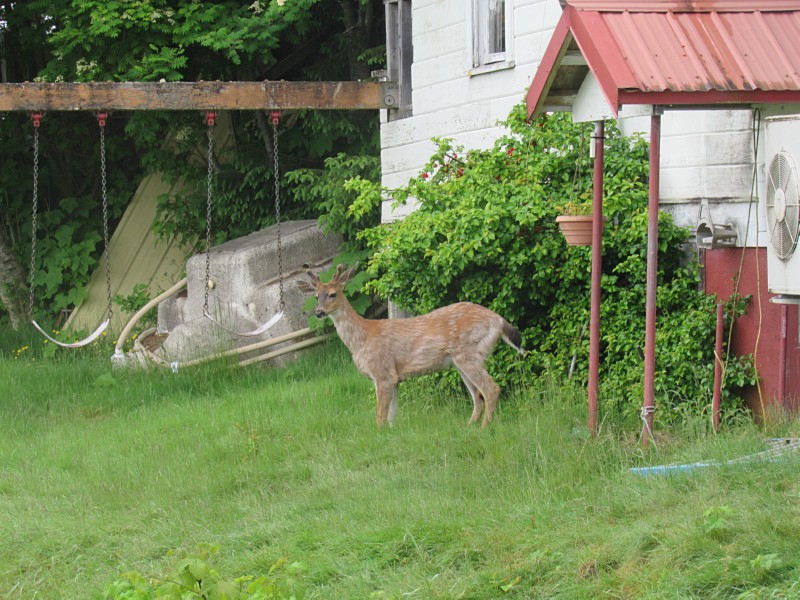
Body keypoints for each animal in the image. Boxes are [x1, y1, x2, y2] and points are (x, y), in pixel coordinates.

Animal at [297, 264, 525, 428]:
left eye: (333, 294)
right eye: (316, 296)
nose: (318, 312)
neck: (362, 339)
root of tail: (498, 320)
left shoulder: (382, 373)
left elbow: (380, 416)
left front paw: (378, 434)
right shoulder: (394, 378)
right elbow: (391, 416)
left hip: (469, 353)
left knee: (491, 389)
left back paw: (484, 428)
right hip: (460, 362)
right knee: (477, 396)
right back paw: (469, 427)